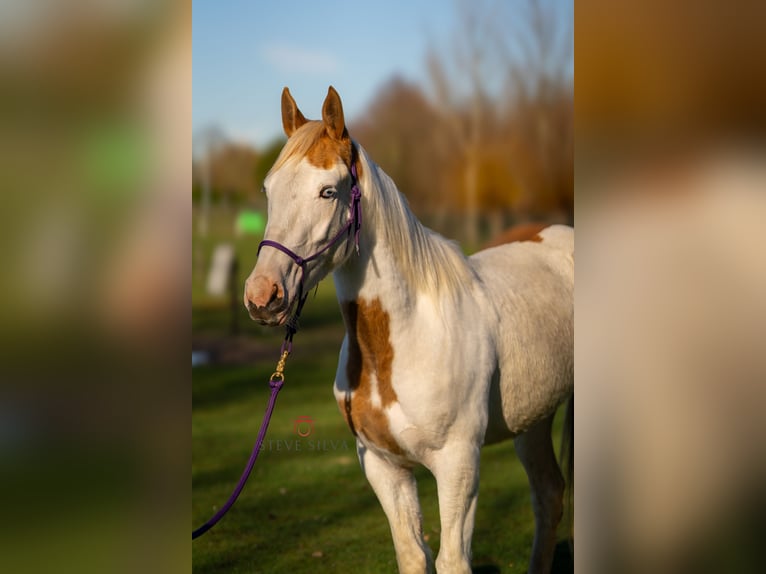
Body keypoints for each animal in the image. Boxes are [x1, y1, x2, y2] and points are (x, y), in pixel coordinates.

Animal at [244, 86, 574, 574]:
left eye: (328, 191)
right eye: (269, 190)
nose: (262, 295)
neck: (403, 340)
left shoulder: (458, 465)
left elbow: (452, 560)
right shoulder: (384, 467)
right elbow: (413, 555)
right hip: (533, 418)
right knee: (548, 494)